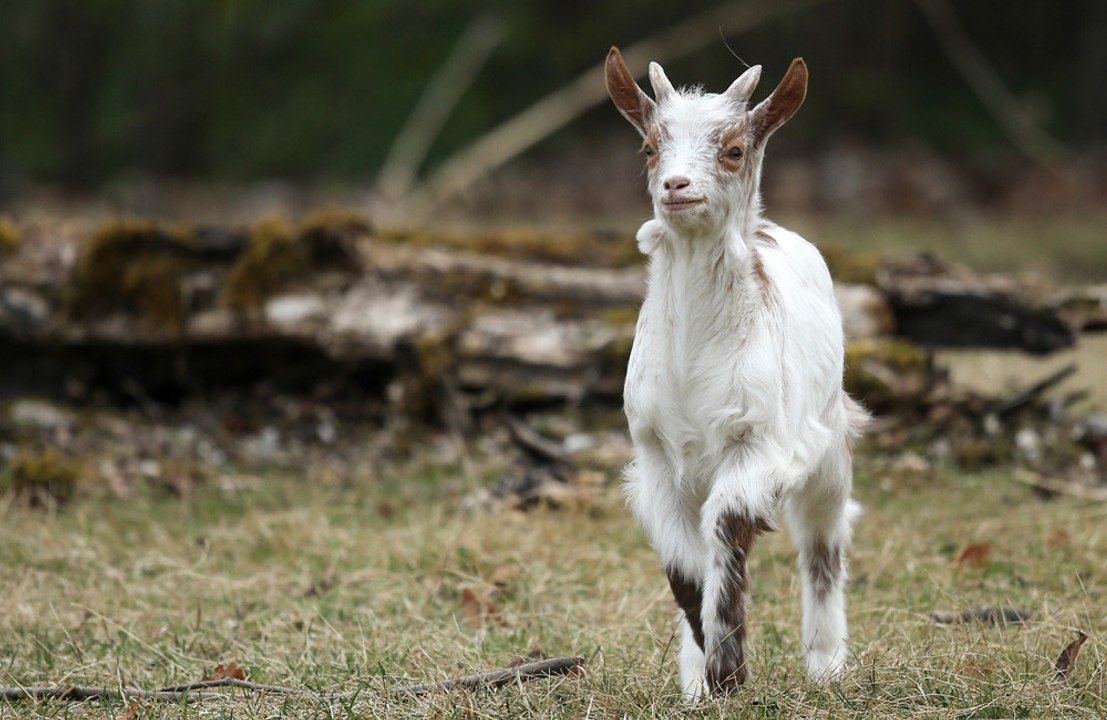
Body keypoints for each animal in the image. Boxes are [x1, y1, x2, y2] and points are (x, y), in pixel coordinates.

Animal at [604, 47, 866, 699]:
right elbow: (682, 564)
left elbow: (727, 526)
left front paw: (728, 668)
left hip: (830, 436)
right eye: (649, 147)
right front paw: (705, 674)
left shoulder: (760, 442)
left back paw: (826, 663)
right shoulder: (654, 456)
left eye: (734, 150)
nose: (676, 185)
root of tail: (773, 229)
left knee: (823, 541)